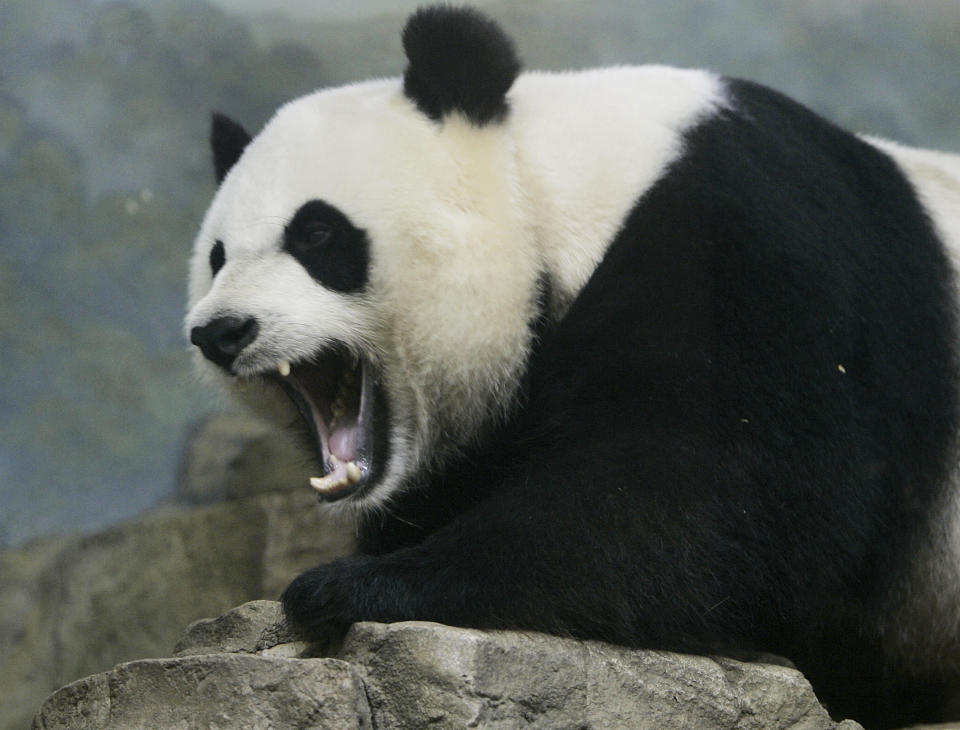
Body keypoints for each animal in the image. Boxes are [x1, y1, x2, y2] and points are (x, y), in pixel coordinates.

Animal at [186, 4, 960, 724]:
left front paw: (353, 584)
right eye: (217, 257)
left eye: (317, 233)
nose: (219, 332)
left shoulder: (748, 244)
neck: (557, 190)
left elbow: (702, 497)